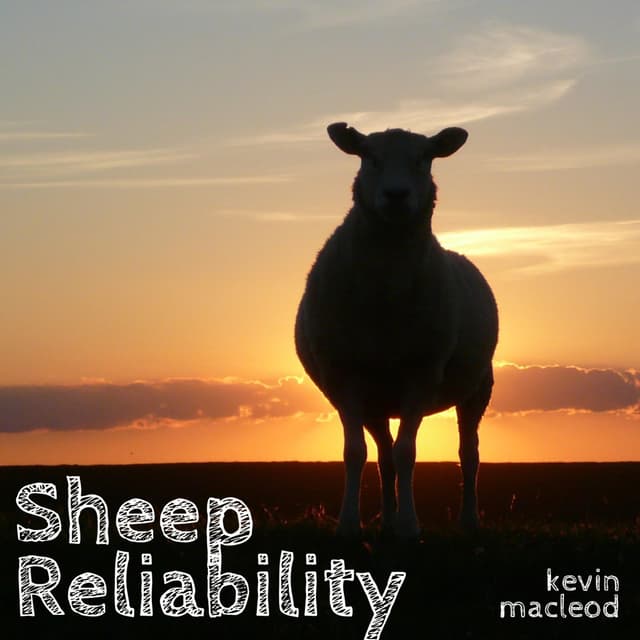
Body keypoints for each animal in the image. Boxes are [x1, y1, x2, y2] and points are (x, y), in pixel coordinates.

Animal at [295, 122, 499, 538]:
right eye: (369, 157)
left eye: (425, 158)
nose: (396, 195)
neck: (384, 295)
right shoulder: (345, 375)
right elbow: (355, 453)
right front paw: (350, 525)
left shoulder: (421, 372)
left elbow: (408, 453)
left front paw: (408, 526)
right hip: (376, 400)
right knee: (383, 457)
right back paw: (386, 521)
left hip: (477, 388)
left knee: (468, 454)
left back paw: (468, 521)